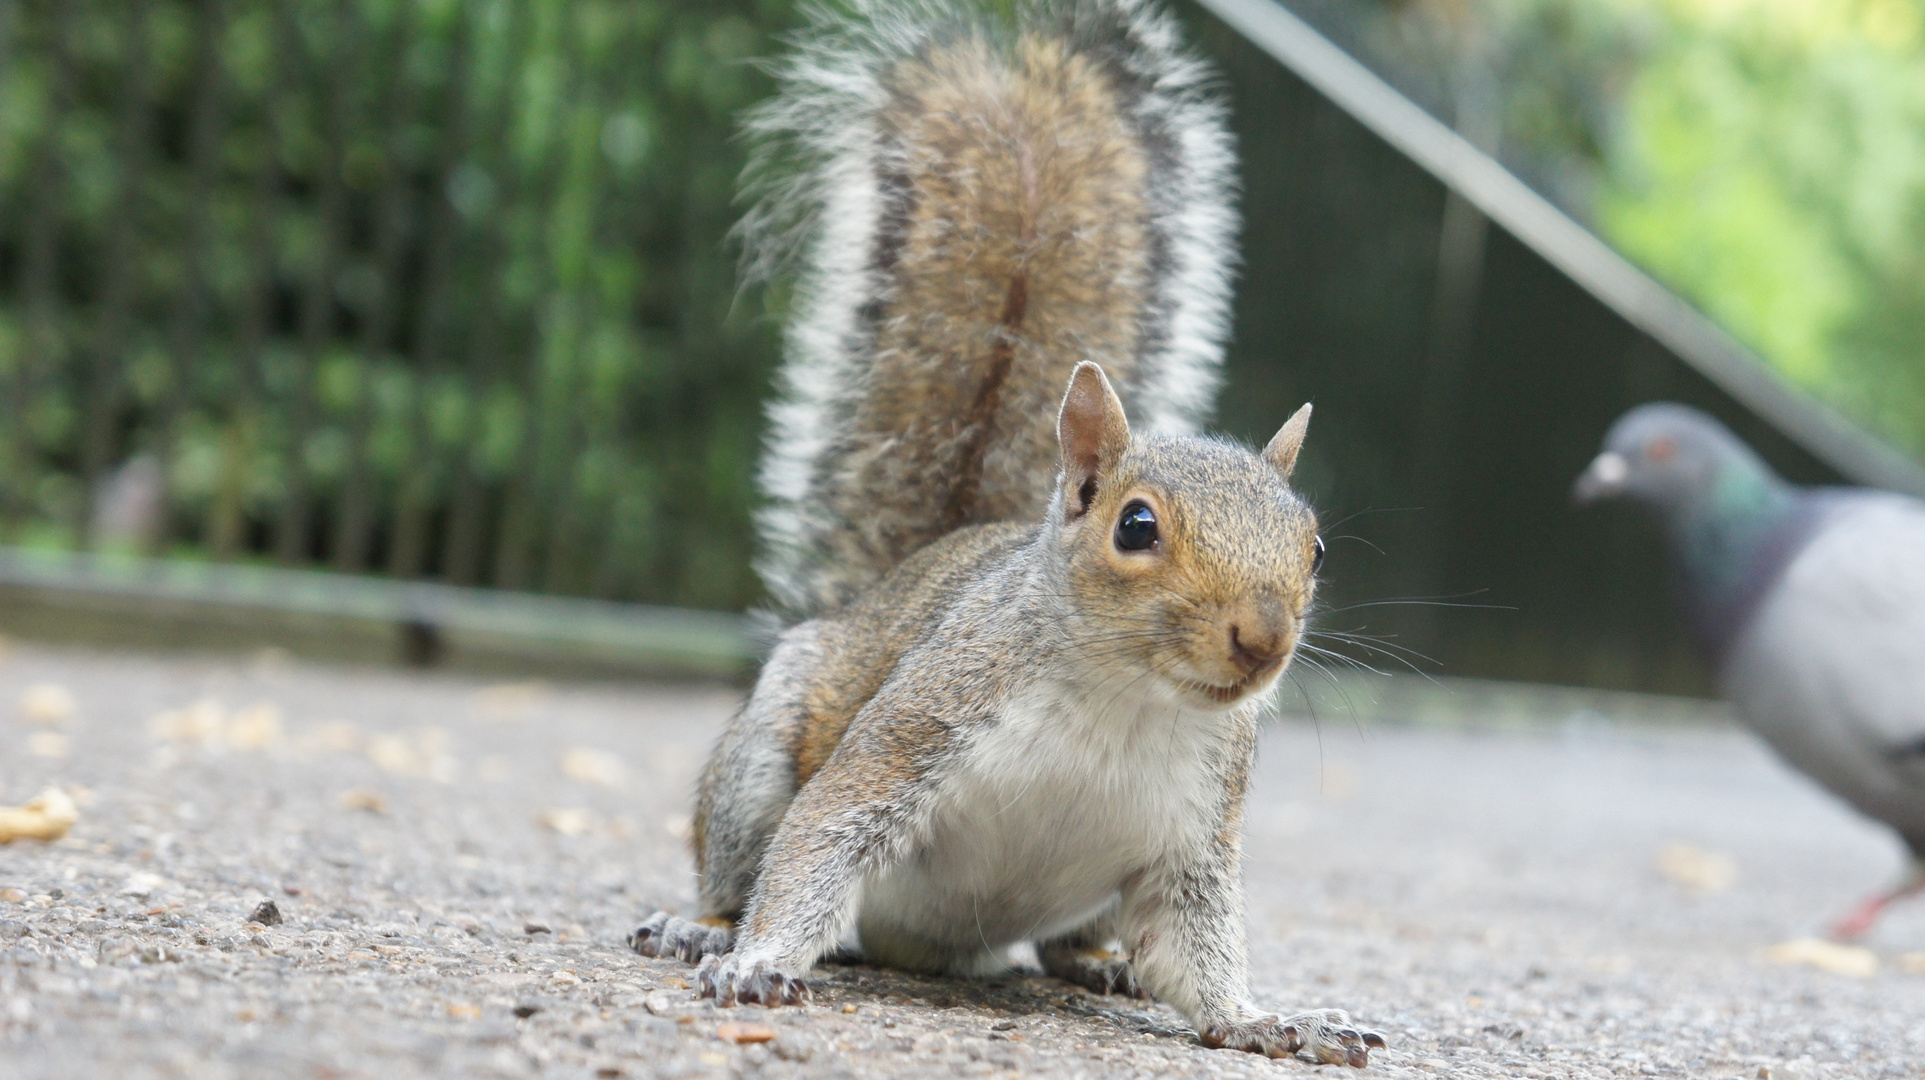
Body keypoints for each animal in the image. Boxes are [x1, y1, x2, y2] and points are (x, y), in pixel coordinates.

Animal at [631, 0, 1386, 1062]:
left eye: (1313, 547)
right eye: (1136, 525)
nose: (1264, 640)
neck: (1125, 699)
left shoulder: (1195, 838)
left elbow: (1197, 950)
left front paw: (1267, 1020)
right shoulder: (911, 729)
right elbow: (819, 839)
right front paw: (758, 960)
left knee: (1083, 943)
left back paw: (1099, 966)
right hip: (759, 763)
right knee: (741, 863)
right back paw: (700, 927)